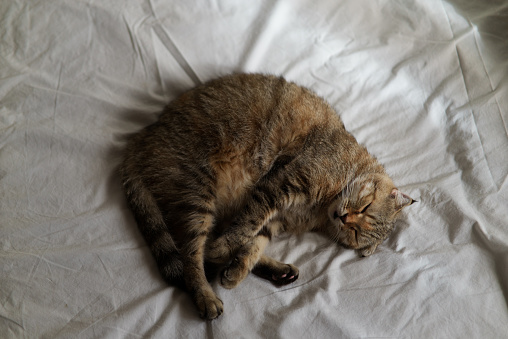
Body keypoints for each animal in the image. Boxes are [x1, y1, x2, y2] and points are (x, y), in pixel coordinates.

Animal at [121, 72, 414, 322]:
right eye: (364, 207)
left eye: (355, 233)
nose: (344, 218)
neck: (321, 209)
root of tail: (142, 137)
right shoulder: (279, 186)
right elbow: (246, 226)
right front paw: (224, 248)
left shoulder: (278, 217)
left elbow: (254, 241)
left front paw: (238, 267)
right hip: (197, 192)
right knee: (192, 257)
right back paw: (206, 295)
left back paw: (274, 271)